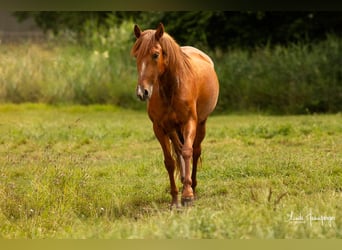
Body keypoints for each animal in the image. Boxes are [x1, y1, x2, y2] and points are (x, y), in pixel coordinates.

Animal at [131, 23, 219, 207]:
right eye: (136, 56)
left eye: (155, 54)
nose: (142, 92)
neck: (171, 89)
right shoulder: (159, 128)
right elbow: (170, 162)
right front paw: (175, 200)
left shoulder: (189, 122)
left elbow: (188, 152)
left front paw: (188, 195)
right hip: (173, 130)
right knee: (178, 151)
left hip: (201, 124)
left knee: (195, 151)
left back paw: (193, 186)